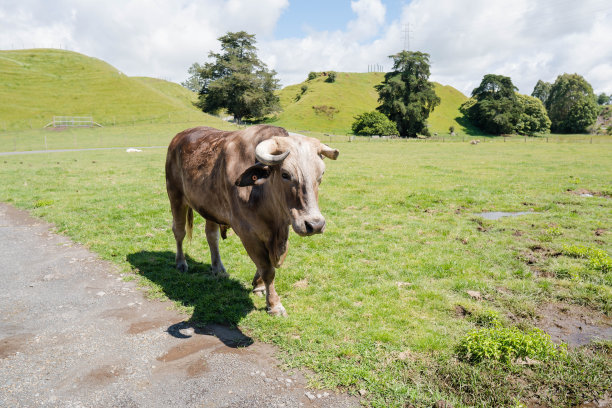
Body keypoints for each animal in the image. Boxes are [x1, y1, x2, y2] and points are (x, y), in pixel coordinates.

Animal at [165, 123, 340, 316]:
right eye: (285, 174)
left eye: (321, 174)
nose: (315, 225)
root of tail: (180, 136)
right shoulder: (246, 232)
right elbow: (267, 268)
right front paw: (274, 304)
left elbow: (270, 263)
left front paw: (259, 285)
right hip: (175, 196)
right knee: (179, 232)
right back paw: (181, 263)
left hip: (210, 208)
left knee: (211, 236)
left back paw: (218, 269)